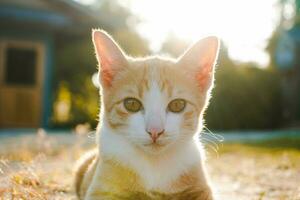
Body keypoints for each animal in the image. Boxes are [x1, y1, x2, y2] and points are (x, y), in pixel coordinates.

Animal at [74, 29, 220, 200]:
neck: (153, 164)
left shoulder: (201, 188)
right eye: (131, 104)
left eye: (177, 105)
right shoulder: (101, 189)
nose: (155, 131)